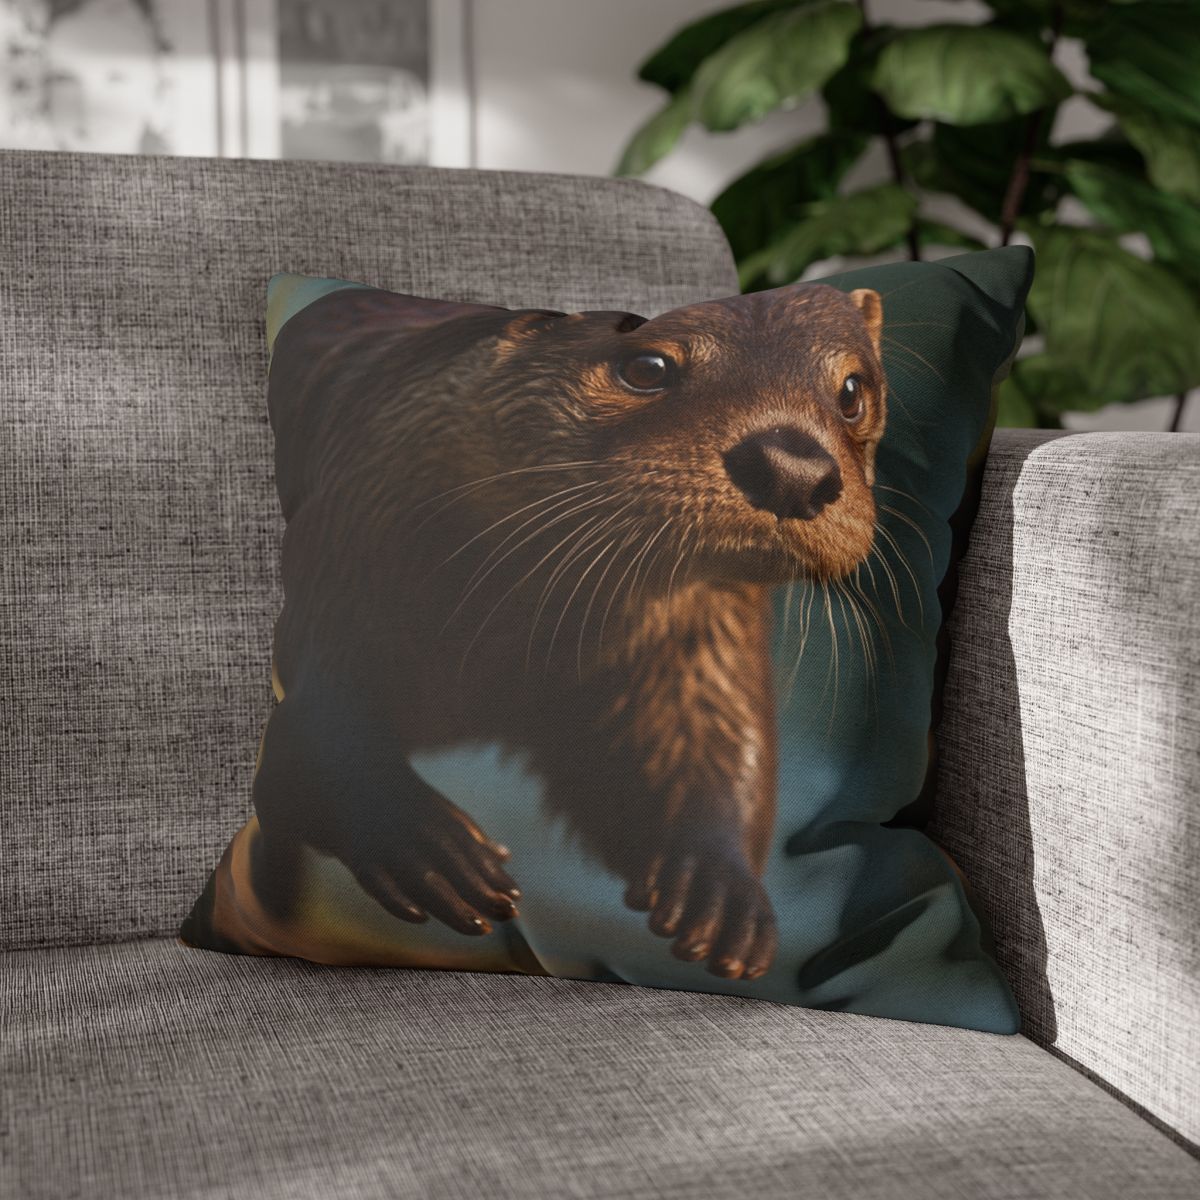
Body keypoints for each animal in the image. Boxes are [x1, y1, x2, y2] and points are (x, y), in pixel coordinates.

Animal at [199, 281, 887, 983]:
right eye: (647, 367)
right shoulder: (351, 547)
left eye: (852, 391)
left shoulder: (699, 643)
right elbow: (319, 727)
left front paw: (718, 889)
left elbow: (710, 739)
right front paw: (420, 842)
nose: (793, 467)